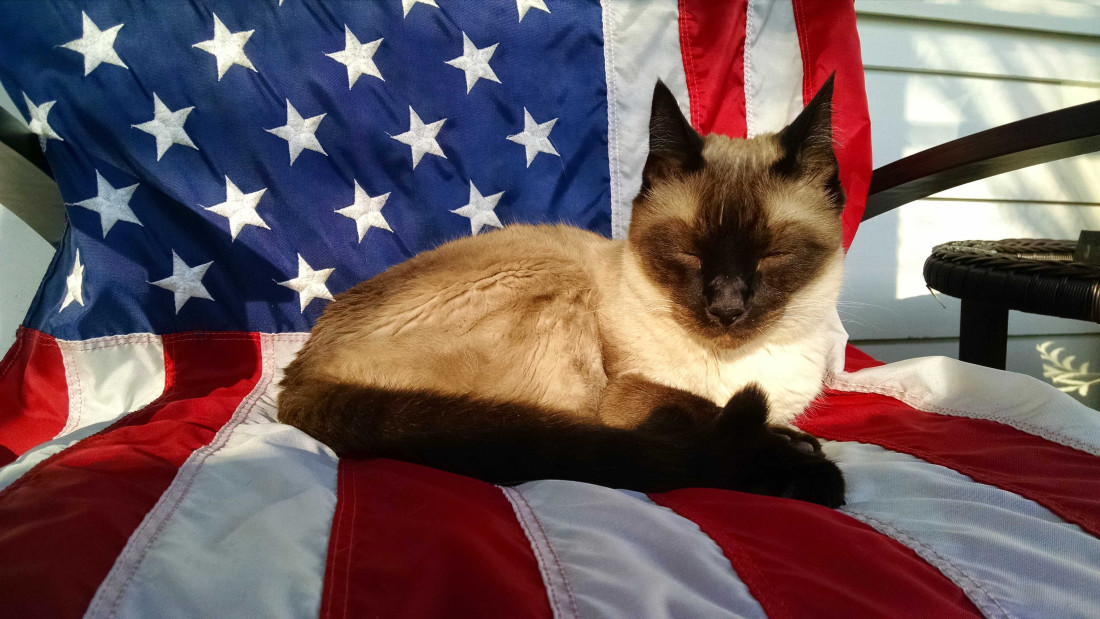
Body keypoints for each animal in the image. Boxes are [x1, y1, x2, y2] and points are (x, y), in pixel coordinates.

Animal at [279, 77, 844, 507]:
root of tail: (299, 373)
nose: (727, 307)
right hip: (559, 286)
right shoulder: (625, 395)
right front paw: (799, 454)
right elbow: (698, 409)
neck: (739, 364)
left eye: (773, 255)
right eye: (689, 254)